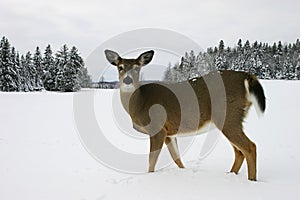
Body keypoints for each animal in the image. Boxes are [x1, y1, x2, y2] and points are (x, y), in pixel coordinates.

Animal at [105, 49, 264, 180]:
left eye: (137, 67)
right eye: (120, 67)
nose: (127, 80)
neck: (140, 104)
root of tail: (247, 77)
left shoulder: (157, 128)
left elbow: (151, 162)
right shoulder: (169, 133)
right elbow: (177, 159)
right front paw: (184, 172)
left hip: (228, 116)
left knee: (250, 147)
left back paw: (251, 180)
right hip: (229, 119)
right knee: (239, 152)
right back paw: (230, 175)